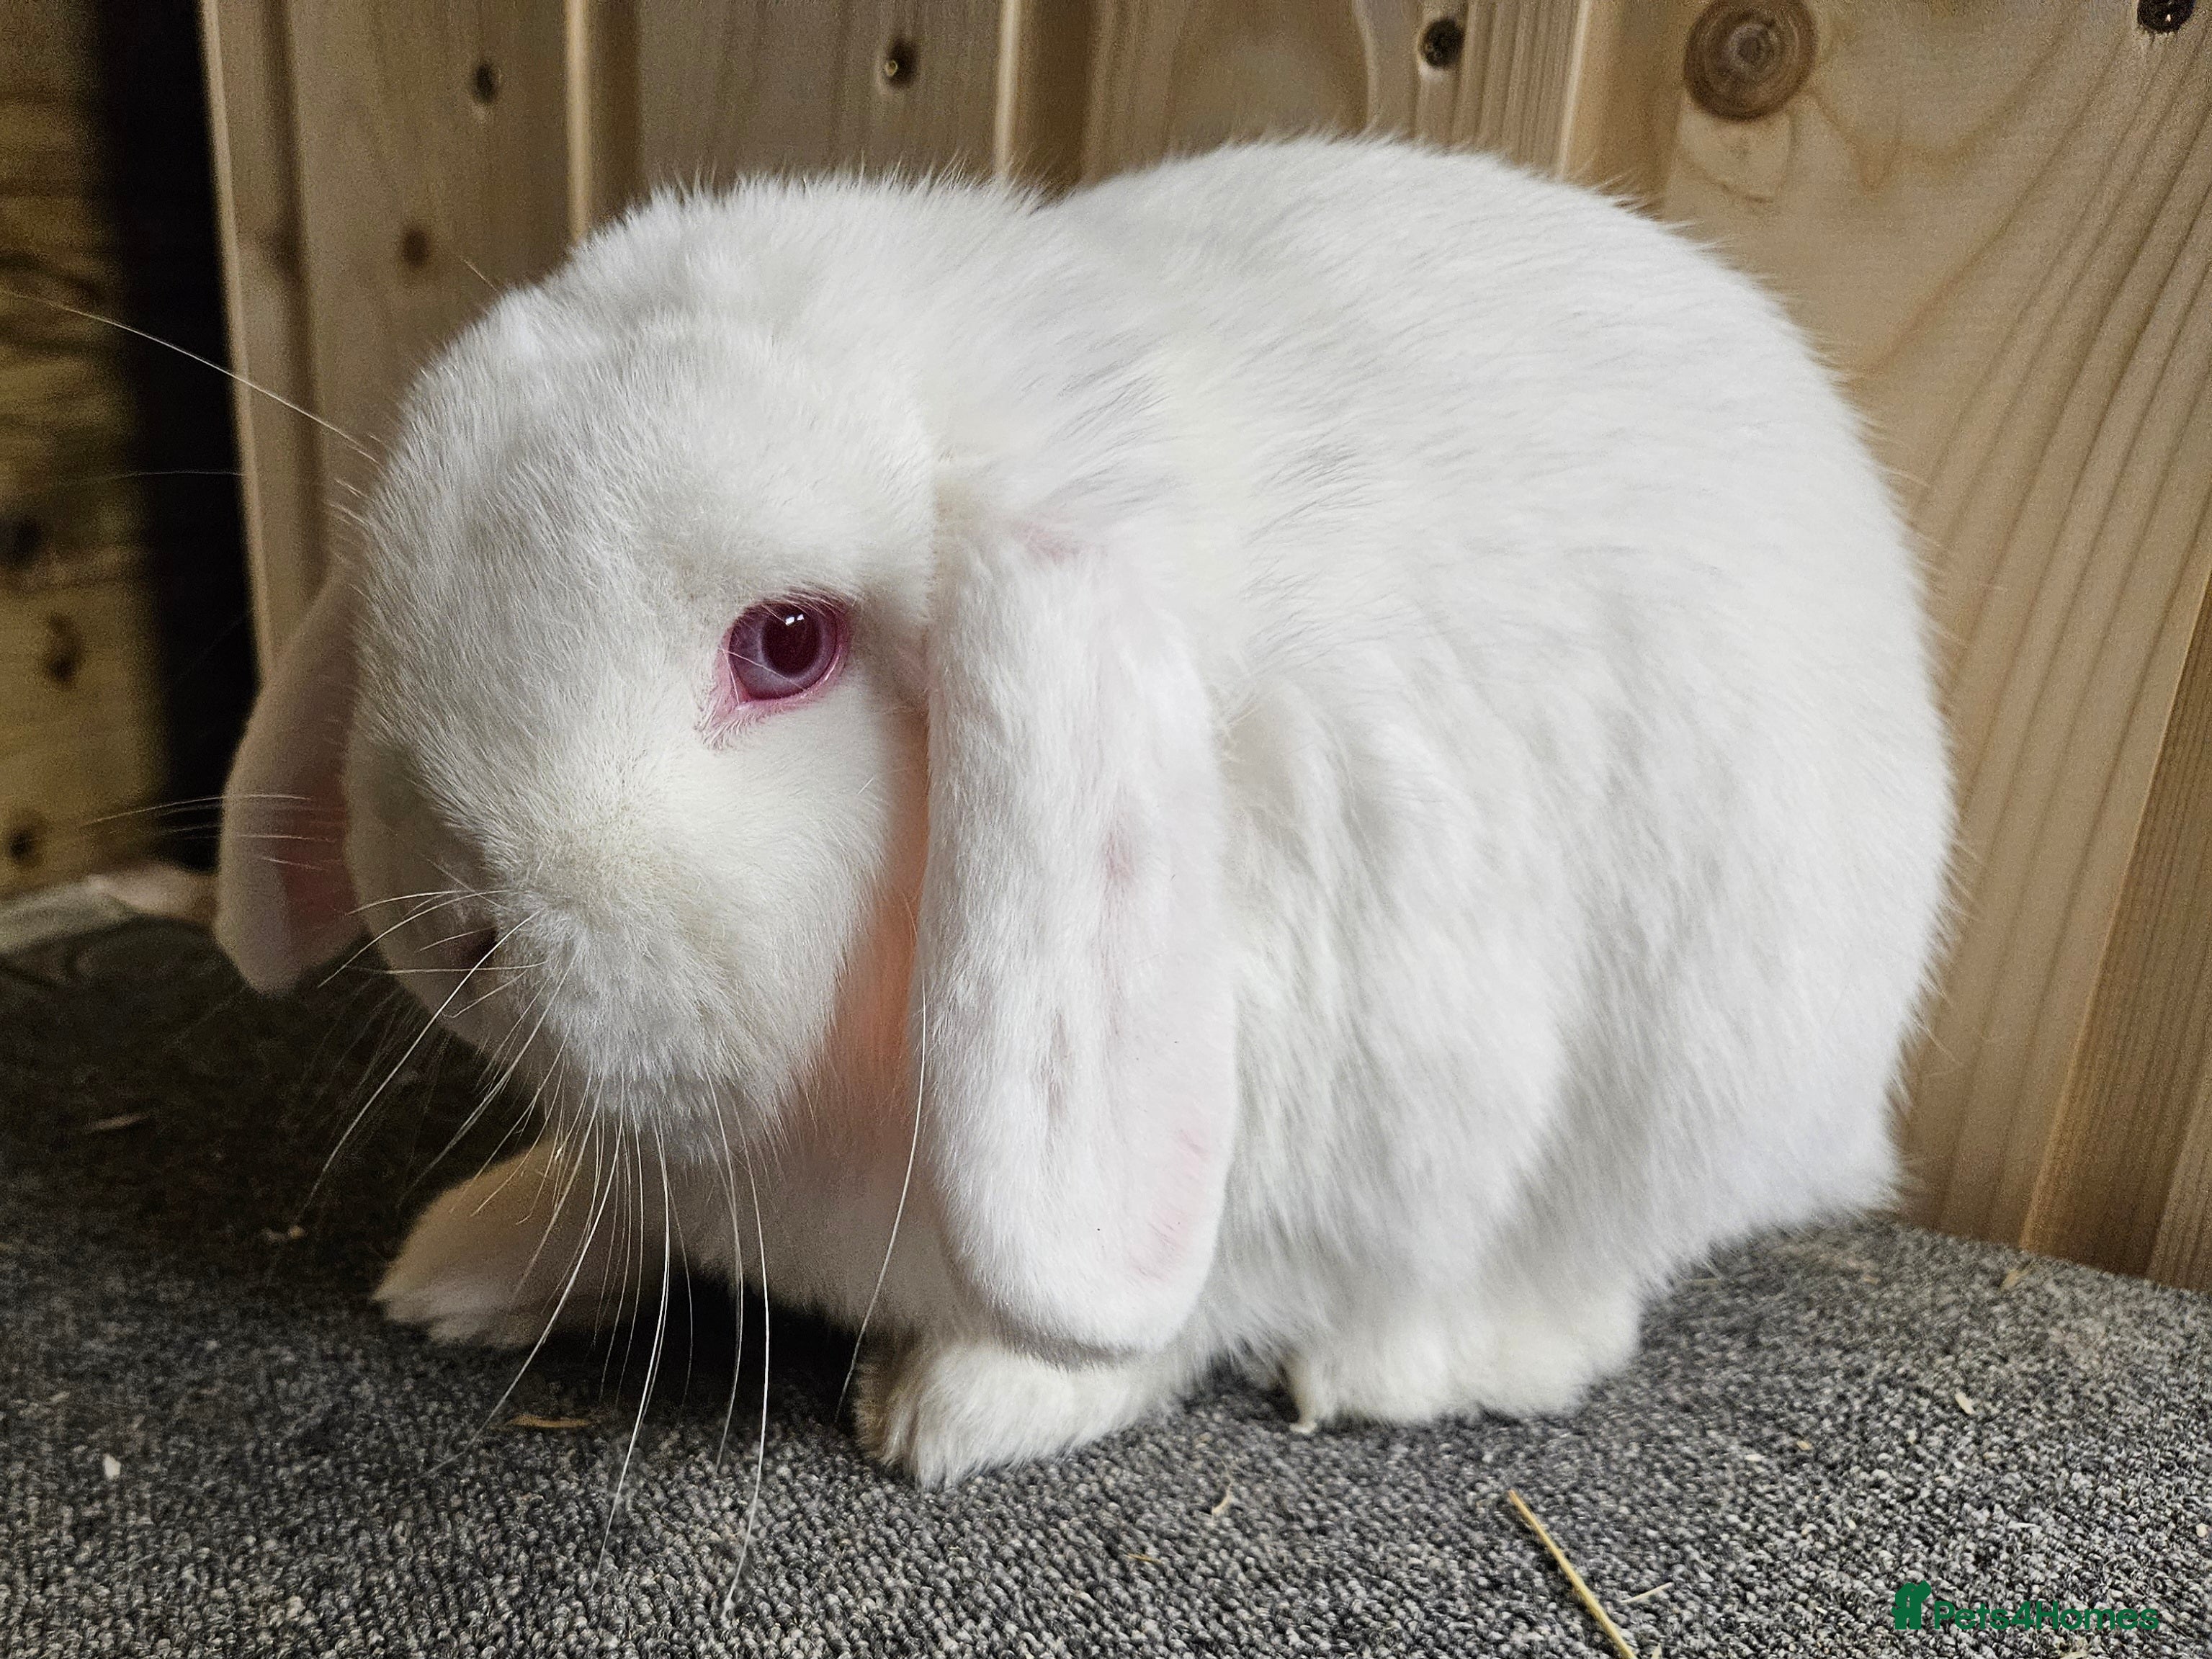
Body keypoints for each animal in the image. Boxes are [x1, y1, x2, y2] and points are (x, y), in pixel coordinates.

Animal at [215, 136, 1953, 1484]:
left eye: (788, 643)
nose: (458, 921)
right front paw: (468, 1261)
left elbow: (1173, 1314)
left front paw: (958, 1408)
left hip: (1688, 1076)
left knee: (1584, 1287)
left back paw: (1393, 1364)